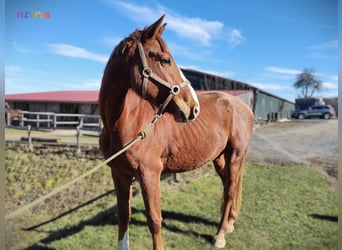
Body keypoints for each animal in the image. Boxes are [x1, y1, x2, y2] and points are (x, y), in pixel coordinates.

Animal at [99, 15, 254, 248]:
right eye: (165, 60)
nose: (193, 107)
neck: (126, 122)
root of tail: (244, 107)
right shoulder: (120, 174)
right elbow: (123, 216)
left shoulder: (150, 174)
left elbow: (155, 220)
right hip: (220, 158)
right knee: (229, 185)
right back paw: (228, 224)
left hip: (235, 155)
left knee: (229, 191)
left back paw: (220, 235)